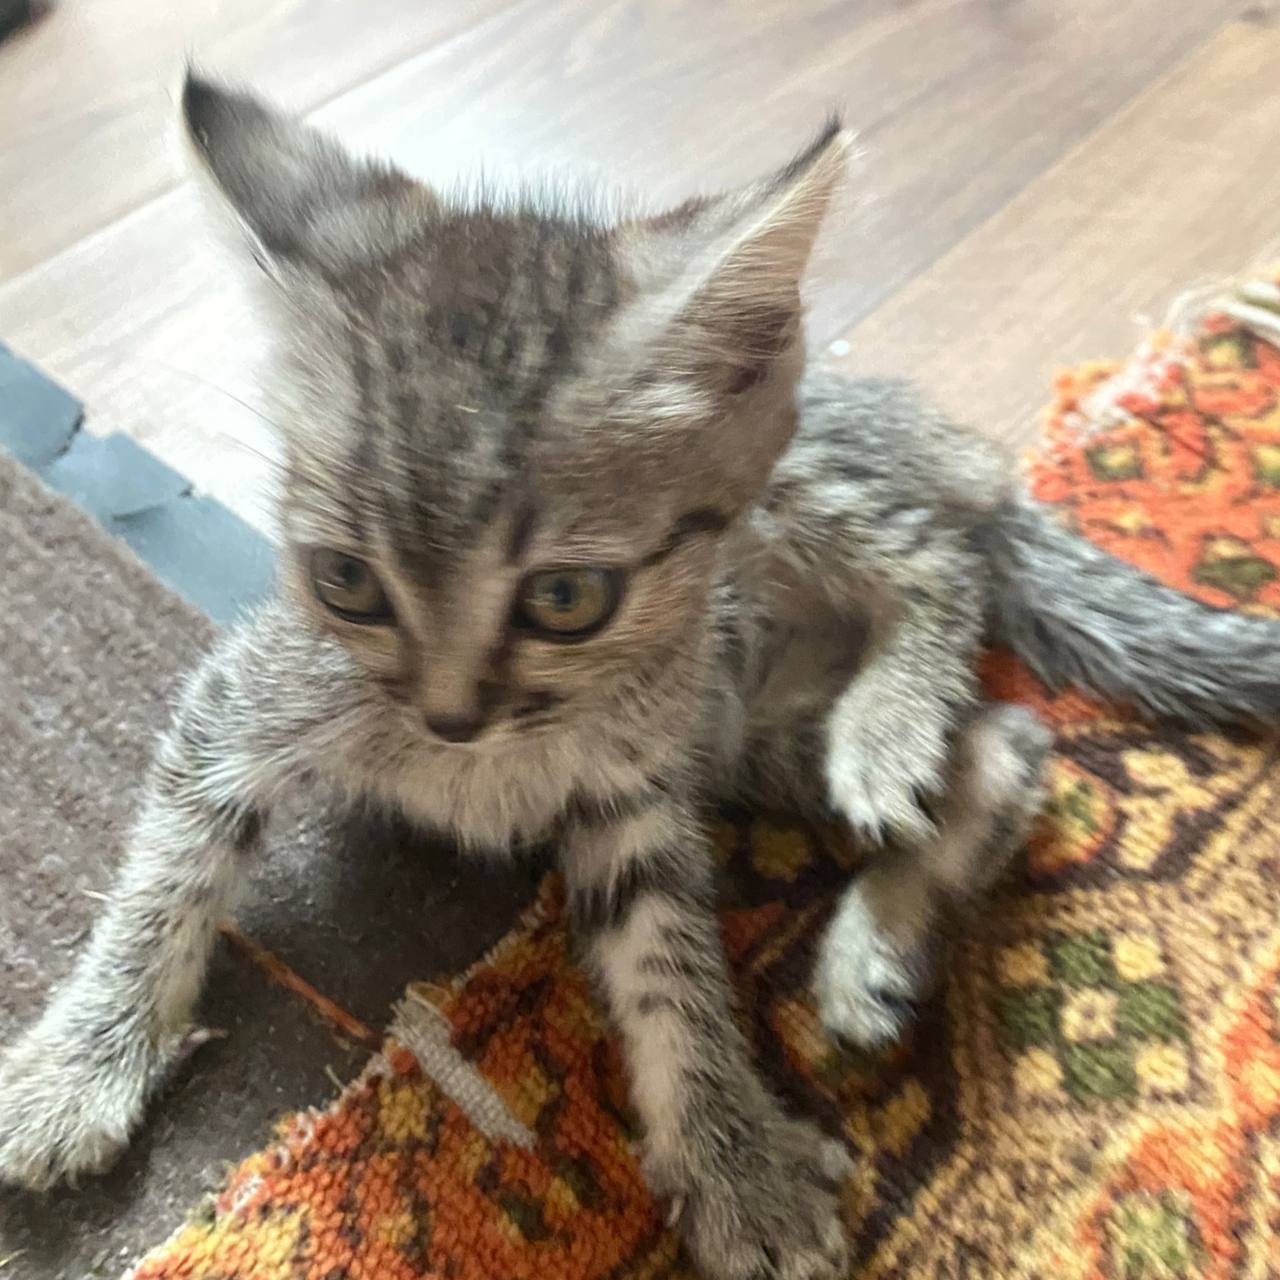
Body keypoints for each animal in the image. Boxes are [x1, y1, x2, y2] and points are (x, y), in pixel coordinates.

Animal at [3, 72, 1280, 1280]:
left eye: (564, 598)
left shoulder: (636, 791)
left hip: (785, 516)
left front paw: (732, 1157)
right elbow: (166, 874)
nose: (450, 716)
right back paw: (879, 927)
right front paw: (77, 1061)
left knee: (938, 561)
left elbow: (672, 967)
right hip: (739, 727)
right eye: (346, 579)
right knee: (1010, 744)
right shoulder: (246, 702)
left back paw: (888, 729)